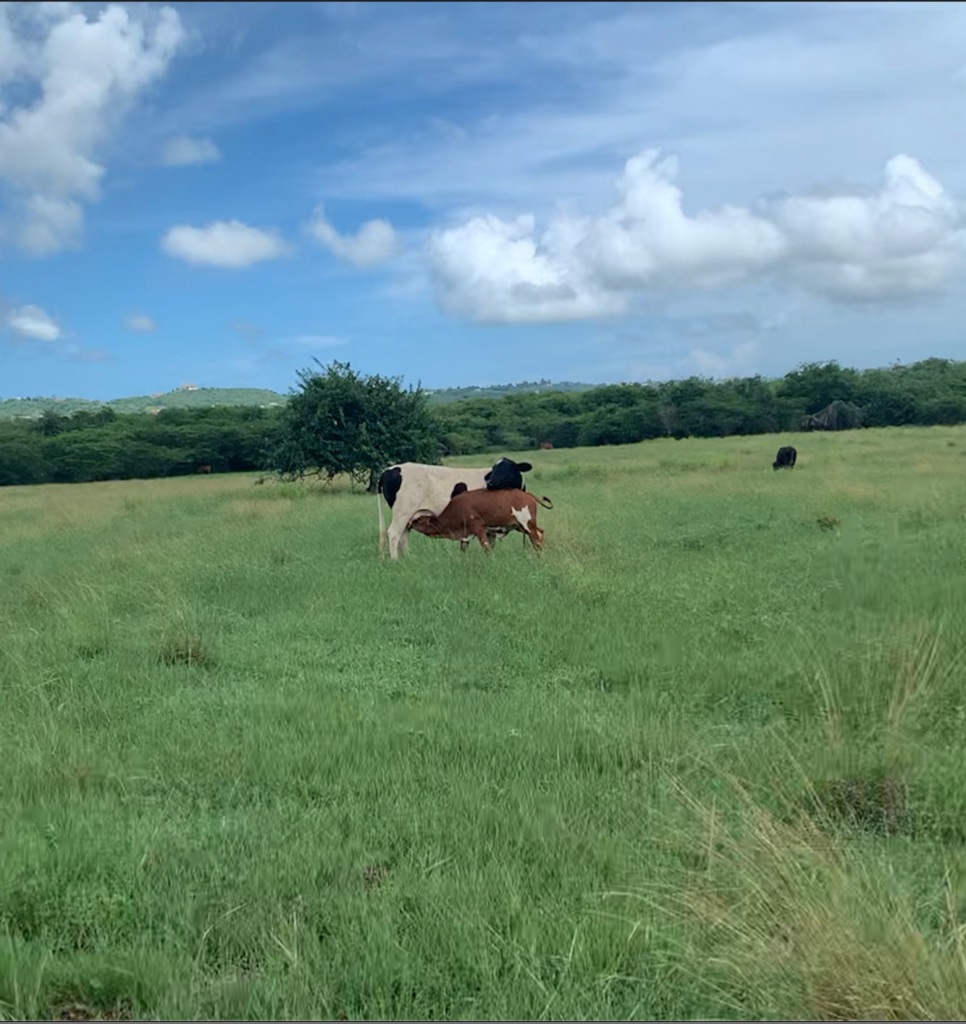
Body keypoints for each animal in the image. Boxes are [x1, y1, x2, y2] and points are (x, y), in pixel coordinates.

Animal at [405, 487, 553, 552]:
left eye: (418, 520)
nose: (409, 523)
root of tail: (528, 494)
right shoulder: (466, 535)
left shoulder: (479, 529)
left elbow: (486, 548)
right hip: (521, 526)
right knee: (540, 533)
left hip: (527, 524)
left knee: (536, 540)